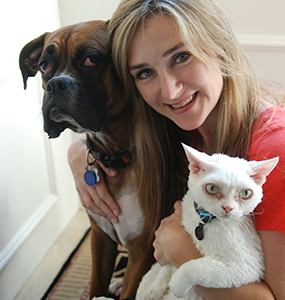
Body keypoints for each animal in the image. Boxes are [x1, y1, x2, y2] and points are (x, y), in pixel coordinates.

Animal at [18, 20, 154, 298]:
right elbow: (96, 283)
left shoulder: (141, 251)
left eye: (91, 59)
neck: (117, 154)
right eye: (43, 66)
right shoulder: (101, 238)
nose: (56, 84)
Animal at [135, 144, 278, 298]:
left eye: (246, 193)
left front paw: (176, 285)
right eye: (212, 188)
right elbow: (167, 266)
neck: (205, 220)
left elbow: (194, 268)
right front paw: (155, 288)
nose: (228, 208)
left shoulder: (247, 266)